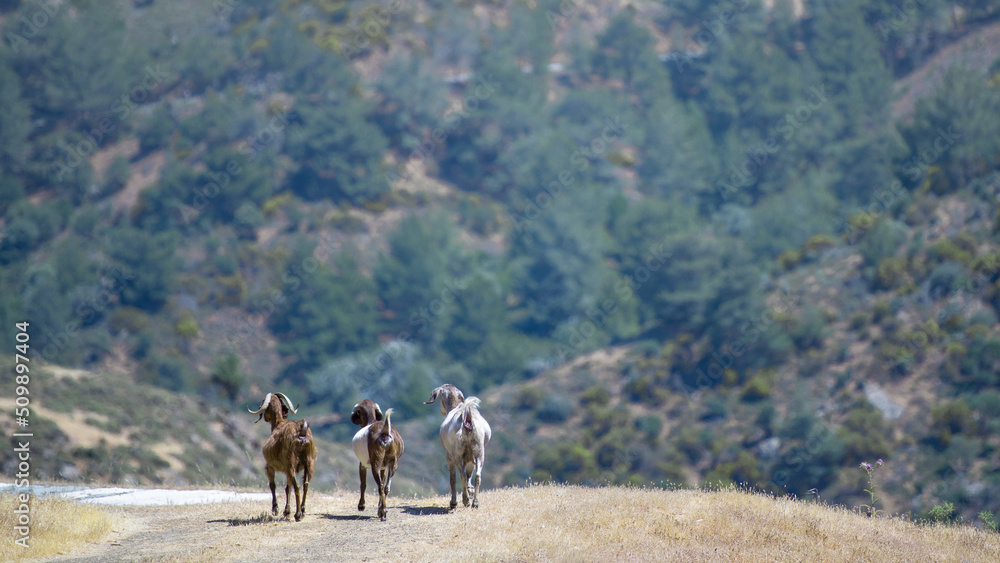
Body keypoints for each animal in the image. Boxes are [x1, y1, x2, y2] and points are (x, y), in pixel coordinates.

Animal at [247, 394, 316, 524]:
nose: (266, 418)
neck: (278, 424)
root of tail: (302, 432)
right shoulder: (287, 470)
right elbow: (287, 488)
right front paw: (286, 511)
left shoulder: (270, 466)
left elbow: (272, 485)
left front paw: (276, 509)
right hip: (309, 462)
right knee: (305, 484)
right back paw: (303, 511)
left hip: (291, 462)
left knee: (297, 486)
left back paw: (298, 514)